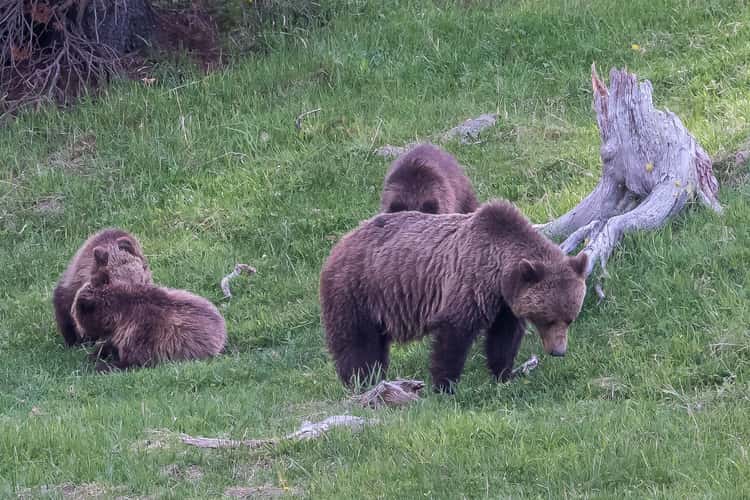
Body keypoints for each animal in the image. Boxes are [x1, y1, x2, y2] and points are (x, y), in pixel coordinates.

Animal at [71, 247, 226, 372]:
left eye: (77, 316)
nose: (81, 333)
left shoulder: (142, 334)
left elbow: (135, 360)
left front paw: (102, 365)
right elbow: (109, 345)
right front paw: (94, 355)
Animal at [319, 199, 588, 392]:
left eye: (569, 319)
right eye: (549, 319)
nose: (559, 351)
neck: (499, 275)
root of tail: (340, 243)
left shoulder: (506, 305)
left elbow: (503, 338)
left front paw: (503, 375)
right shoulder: (468, 284)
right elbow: (454, 334)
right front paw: (445, 385)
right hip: (357, 290)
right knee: (355, 341)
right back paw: (360, 381)